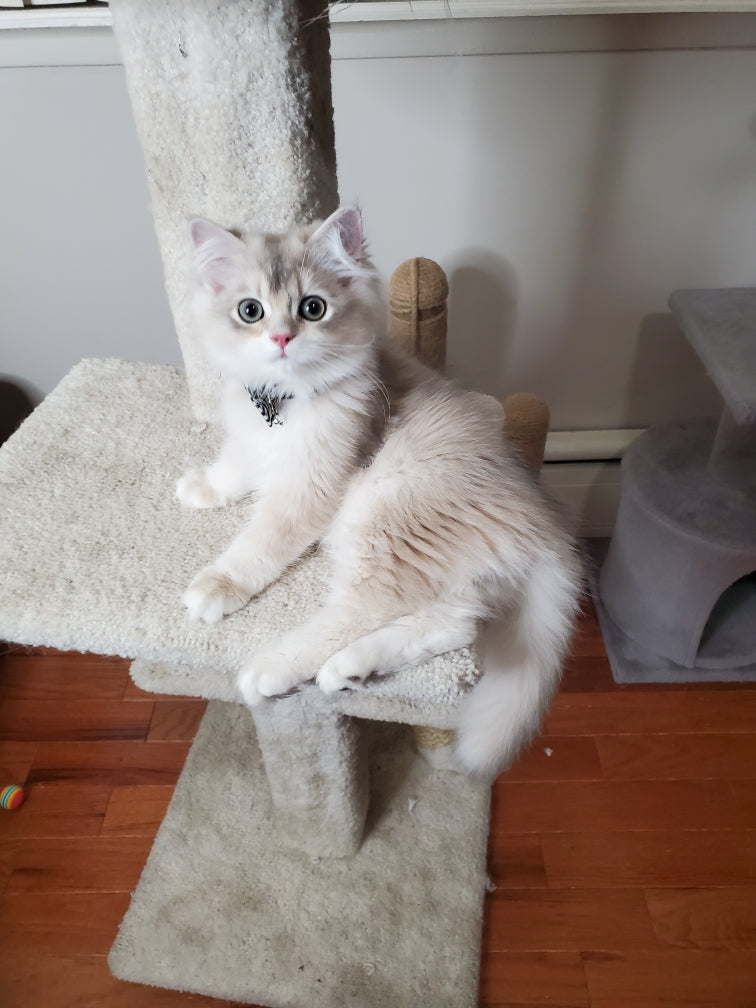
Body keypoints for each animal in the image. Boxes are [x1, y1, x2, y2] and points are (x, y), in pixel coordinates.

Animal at [180, 206, 584, 778]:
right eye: (250, 310)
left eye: (312, 308)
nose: (281, 339)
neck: (283, 401)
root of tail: (545, 523)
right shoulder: (249, 437)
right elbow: (234, 467)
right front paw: (200, 487)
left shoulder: (311, 486)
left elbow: (258, 546)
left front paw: (217, 585)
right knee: (457, 624)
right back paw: (350, 669)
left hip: (381, 519)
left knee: (358, 611)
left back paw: (274, 668)